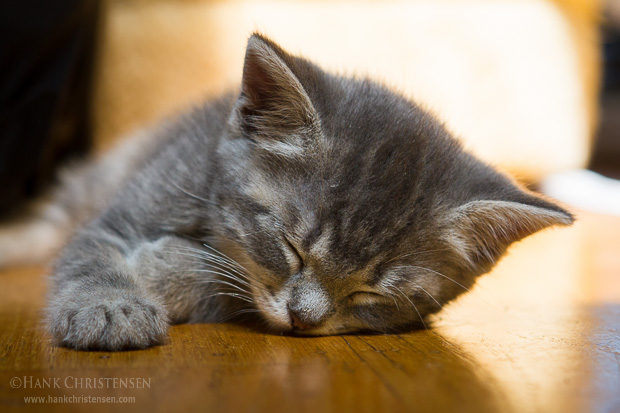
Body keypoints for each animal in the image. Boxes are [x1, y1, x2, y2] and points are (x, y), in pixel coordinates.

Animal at [43, 32, 576, 350]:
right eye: (291, 248)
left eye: (370, 292)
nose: (304, 319)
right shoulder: (124, 211)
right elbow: (90, 253)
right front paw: (111, 307)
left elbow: (234, 289)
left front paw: (169, 268)